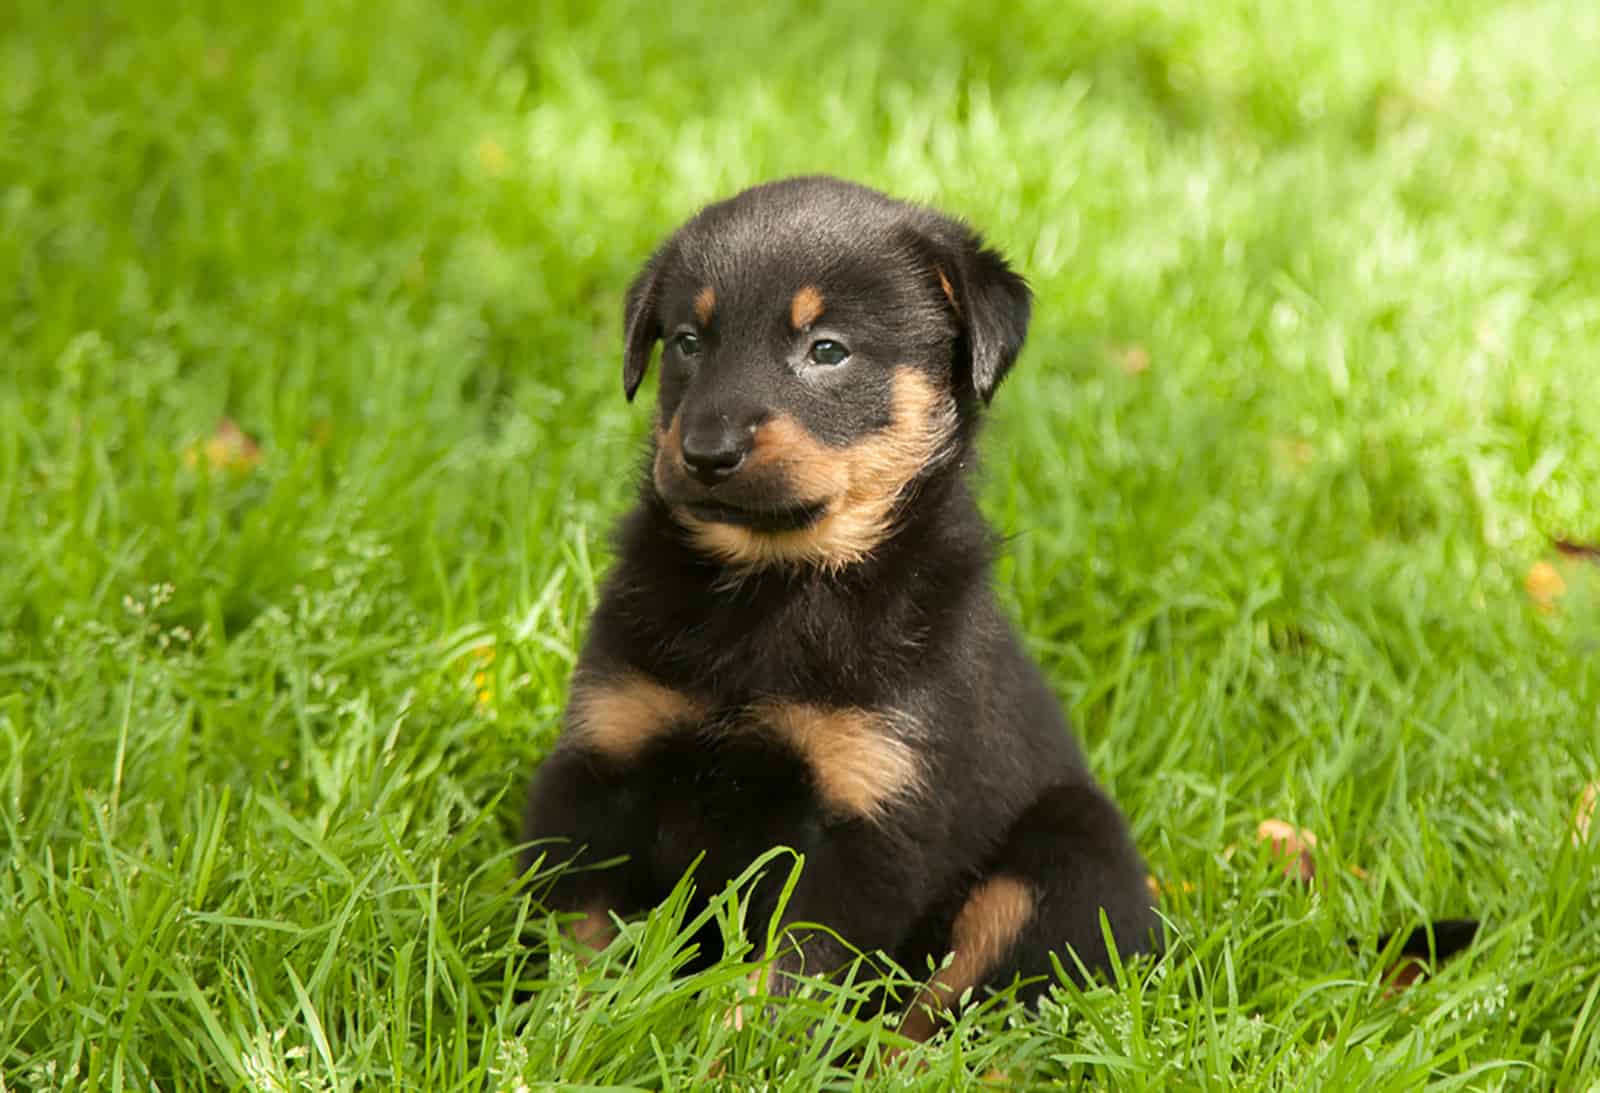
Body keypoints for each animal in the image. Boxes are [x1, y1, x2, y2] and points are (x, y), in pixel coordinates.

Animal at [518, 175, 1158, 1036]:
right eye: (687, 342)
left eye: (827, 349)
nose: (707, 452)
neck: (776, 586)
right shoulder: (599, 761)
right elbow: (576, 939)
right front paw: (563, 1034)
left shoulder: (868, 822)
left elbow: (784, 984)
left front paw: (722, 1053)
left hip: (1064, 861)